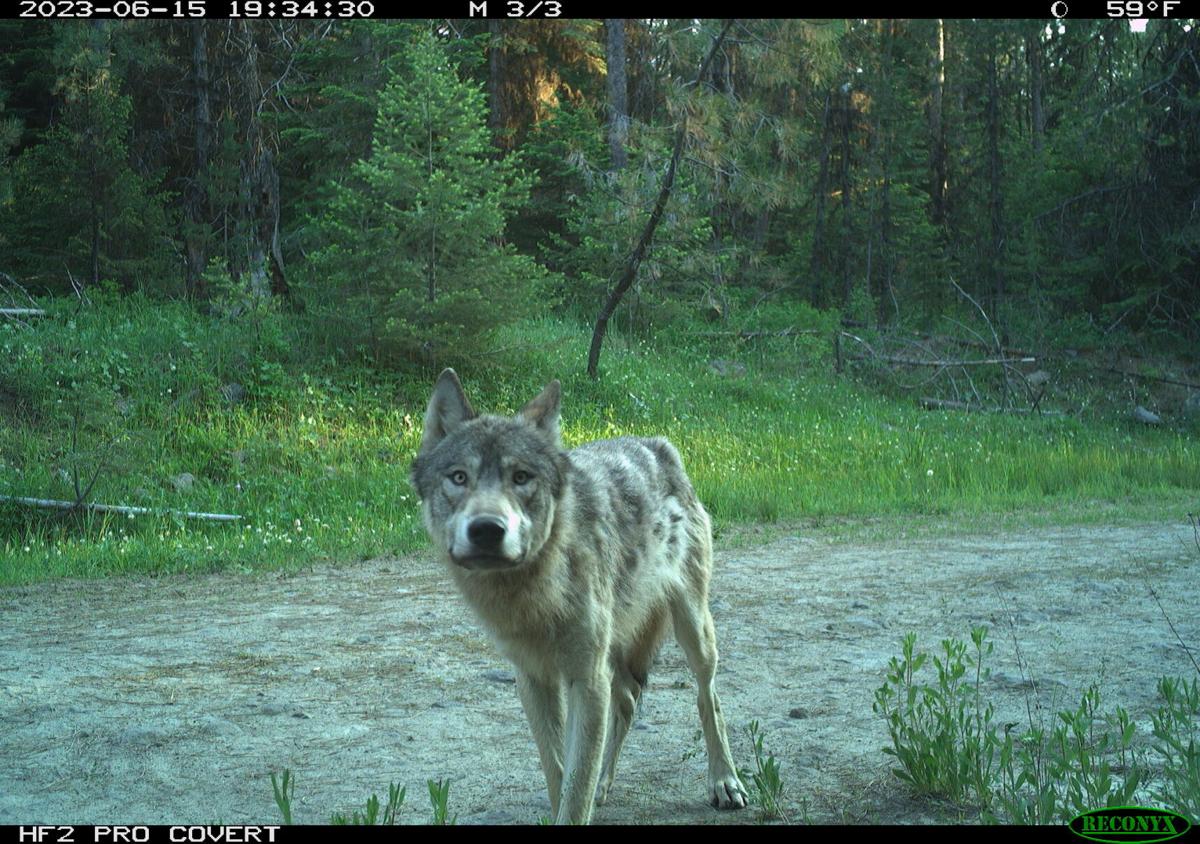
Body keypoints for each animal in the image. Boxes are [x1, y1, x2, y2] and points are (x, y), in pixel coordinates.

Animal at [412, 369, 748, 825]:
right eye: (459, 477)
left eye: (521, 477)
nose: (487, 528)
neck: (533, 594)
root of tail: (658, 445)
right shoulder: (534, 680)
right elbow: (560, 774)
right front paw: (576, 791)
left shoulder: (586, 679)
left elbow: (576, 785)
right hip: (618, 651)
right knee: (627, 701)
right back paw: (606, 785)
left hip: (693, 632)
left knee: (707, 697)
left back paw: (724, 781)